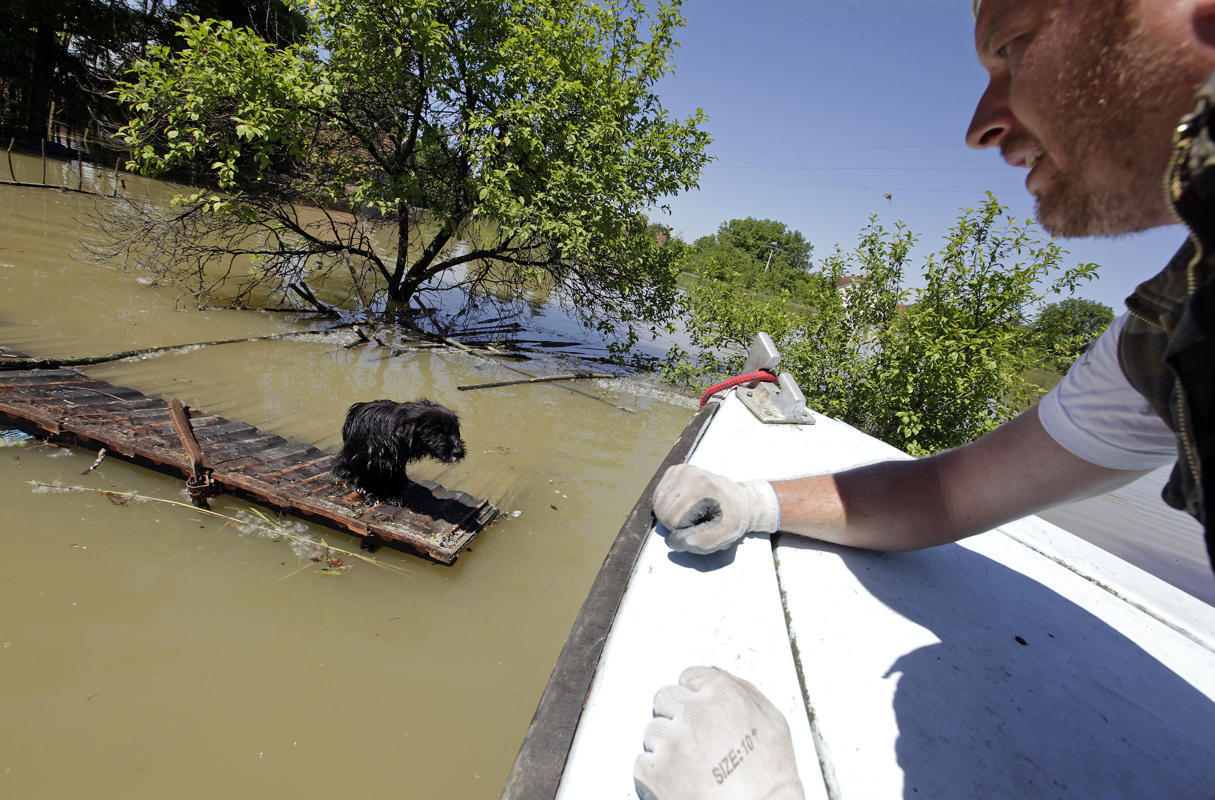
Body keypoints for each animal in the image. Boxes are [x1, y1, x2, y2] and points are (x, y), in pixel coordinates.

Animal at [335, 398, 466, 505]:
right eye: (438, 433)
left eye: (456, 430)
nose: (458, 452)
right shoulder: (362, 460)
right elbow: (366, 478)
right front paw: (371, 495)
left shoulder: (397, 462)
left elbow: (395, 478)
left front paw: (395, 496)